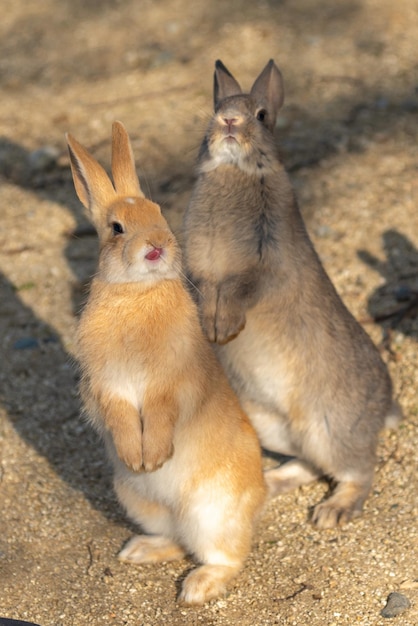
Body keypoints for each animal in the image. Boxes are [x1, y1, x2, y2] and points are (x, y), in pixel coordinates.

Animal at [67, 119, 266, 604]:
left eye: (159, 214)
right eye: (116, 228)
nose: (156, 246)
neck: (138, 292)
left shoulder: (170, 384)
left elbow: (160, 412)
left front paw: (153, 457)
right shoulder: (108, 386)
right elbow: (120, 415)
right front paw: (139, 460)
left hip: (211, 512)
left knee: (226, 557)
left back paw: (196, 589)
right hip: (139, 502)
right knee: (177, 541)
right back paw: (138, 551)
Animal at [184, 59, 402, 528]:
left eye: (262, 114)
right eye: (217, 107)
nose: (229, 122)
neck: (238, 170)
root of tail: (384, 410)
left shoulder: (263, 264)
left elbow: (241, 289)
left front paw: (224, 329)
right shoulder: (200, 271)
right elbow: (206, 289)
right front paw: (211, 331)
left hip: (330, 429)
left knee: (358, 472)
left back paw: (332, 513)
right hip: (272, 426)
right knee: (311, 464)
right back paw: (272, 481)